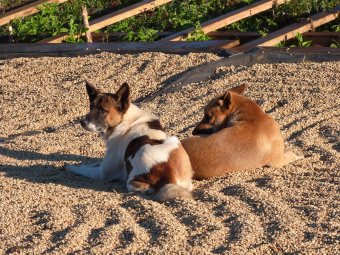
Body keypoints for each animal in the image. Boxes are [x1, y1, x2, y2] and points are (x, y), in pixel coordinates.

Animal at [65, 81, 193, 201]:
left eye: (103, 110)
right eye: (91, 107)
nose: (82, 122)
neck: (124, 119)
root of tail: (170, 176)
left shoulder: (103, 172)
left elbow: (84, 169)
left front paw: (70, 167)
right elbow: (92, 164)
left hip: (132, 177)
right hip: (175, 141)